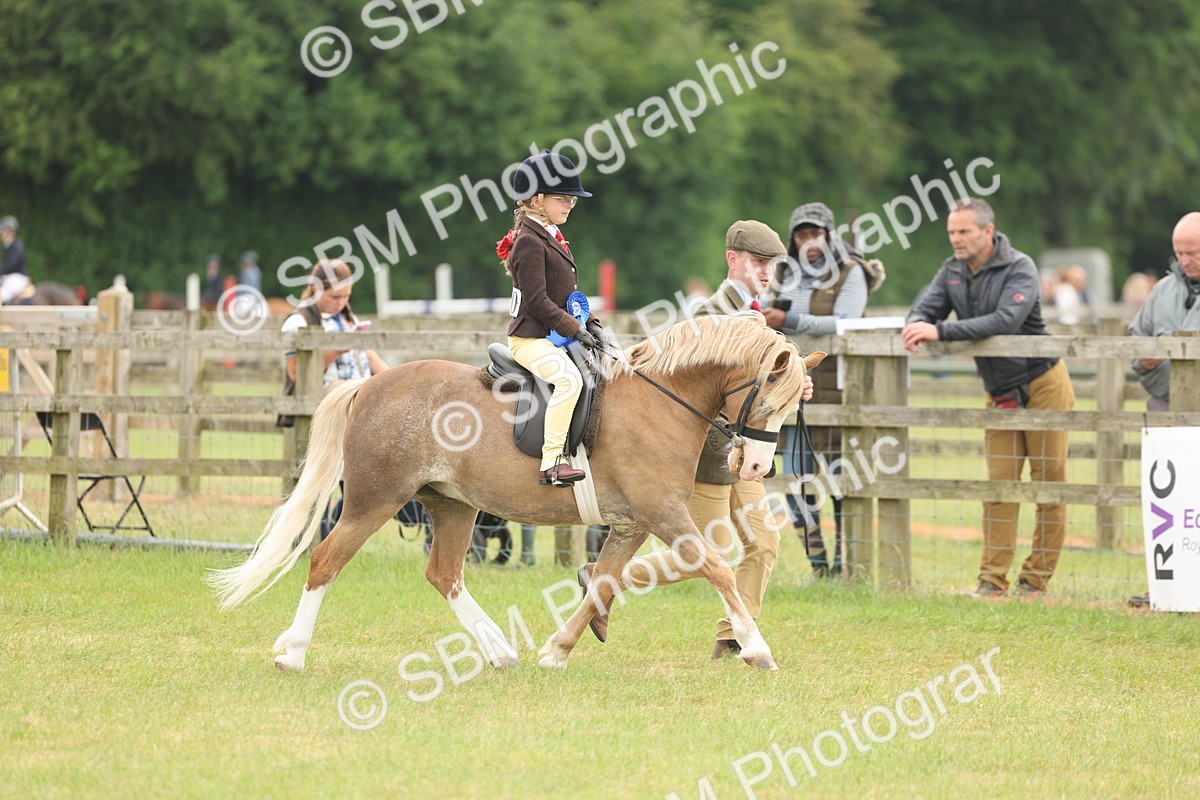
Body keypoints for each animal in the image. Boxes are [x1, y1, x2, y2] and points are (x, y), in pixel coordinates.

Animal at [209, 313, 824, 671]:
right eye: (769, 400)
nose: (757, 466)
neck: (662, 401)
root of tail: (370, 383)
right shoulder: (666, 514)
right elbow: (718, 569)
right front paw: (757, 649)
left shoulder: (633, 524)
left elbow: (603, 583)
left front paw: (556, 651)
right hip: (373, 502)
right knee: (326, 560)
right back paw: (293, 653)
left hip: (453, 505)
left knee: (444, 575)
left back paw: (500, 652)